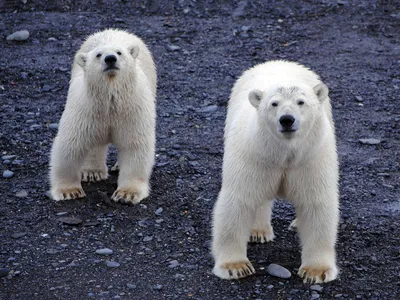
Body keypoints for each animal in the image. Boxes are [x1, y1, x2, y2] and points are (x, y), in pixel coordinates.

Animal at [49, 29, 157, 204]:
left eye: (119, 52)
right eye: (98, 55)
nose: (110, 59)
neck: (110, 101)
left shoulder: (133, 111)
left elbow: (135, 145)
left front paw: (126, 194)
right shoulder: (85, 110)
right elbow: (71, 145)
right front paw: (69, 191)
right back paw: (92, 172)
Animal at [211, 60, 340, 284]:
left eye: (301, 102)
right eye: (274, 104)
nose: (287, 120)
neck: (284, 153)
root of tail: (278, 62)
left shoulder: (310, 158)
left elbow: (316, 203)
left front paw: (316, 271)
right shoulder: (254, 154)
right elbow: (239, 199)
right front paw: (235, 267)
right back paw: (258, 231)